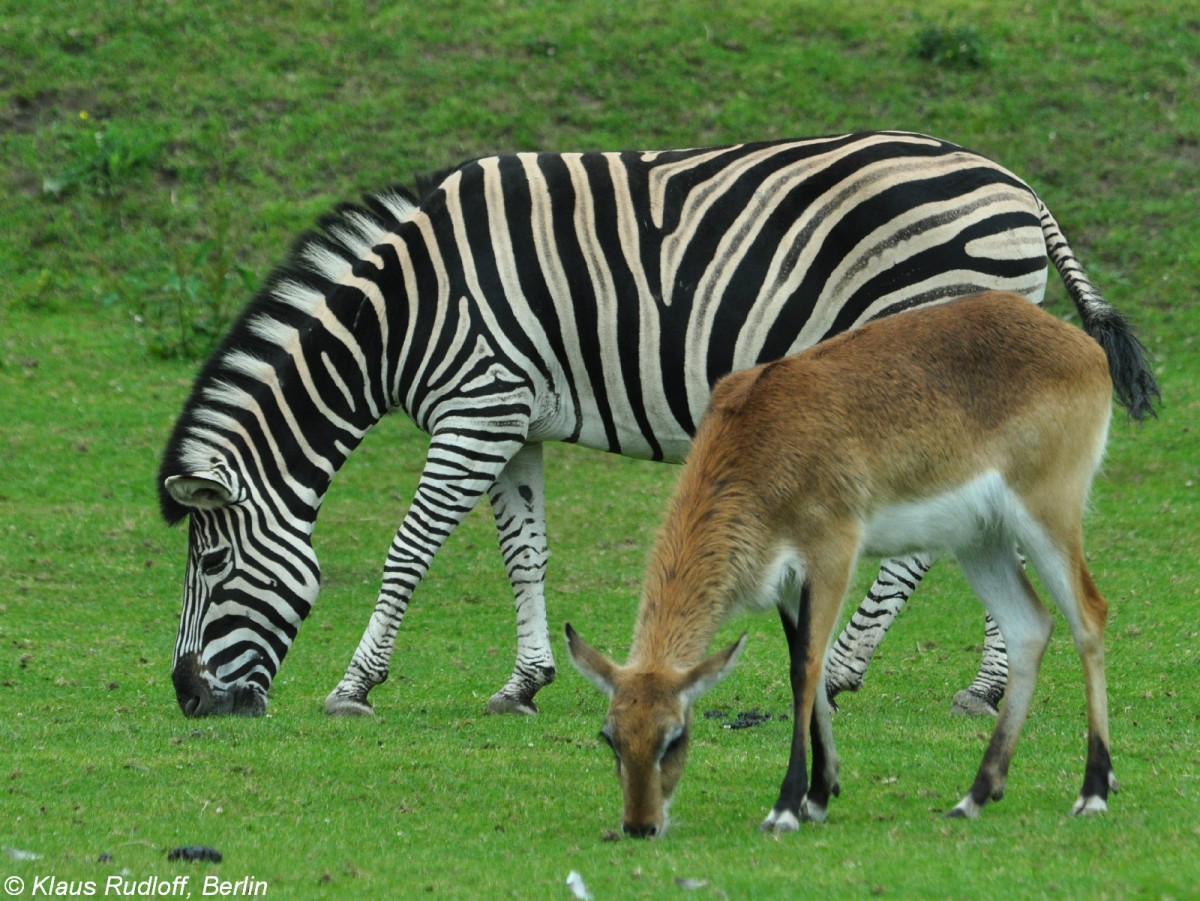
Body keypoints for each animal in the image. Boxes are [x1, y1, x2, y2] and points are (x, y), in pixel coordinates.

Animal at [157, 128, 1152, 719]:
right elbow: (525, 553)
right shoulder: (512, 421)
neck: (403, 310)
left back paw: (840, 671)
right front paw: (523, 680)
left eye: (211, 564)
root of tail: (1020, 189)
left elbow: (409, 551)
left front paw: (355, 682)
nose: (187, 698)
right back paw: (988, 683)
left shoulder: (476, 409)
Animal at [566, 292, 1137, 835]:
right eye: (610, 737)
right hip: (981, 540)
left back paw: (1093, 792)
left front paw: (786, 807)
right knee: (1029, 628)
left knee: (1090, 615)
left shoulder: (833, 554)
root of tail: (1080, 343)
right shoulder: (787, 582)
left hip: (1047, 514)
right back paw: (973, 797)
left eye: (676, 736)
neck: (758, 448)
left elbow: (806, 667)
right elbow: (807, 667)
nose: (640, 825)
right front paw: (820, 795)